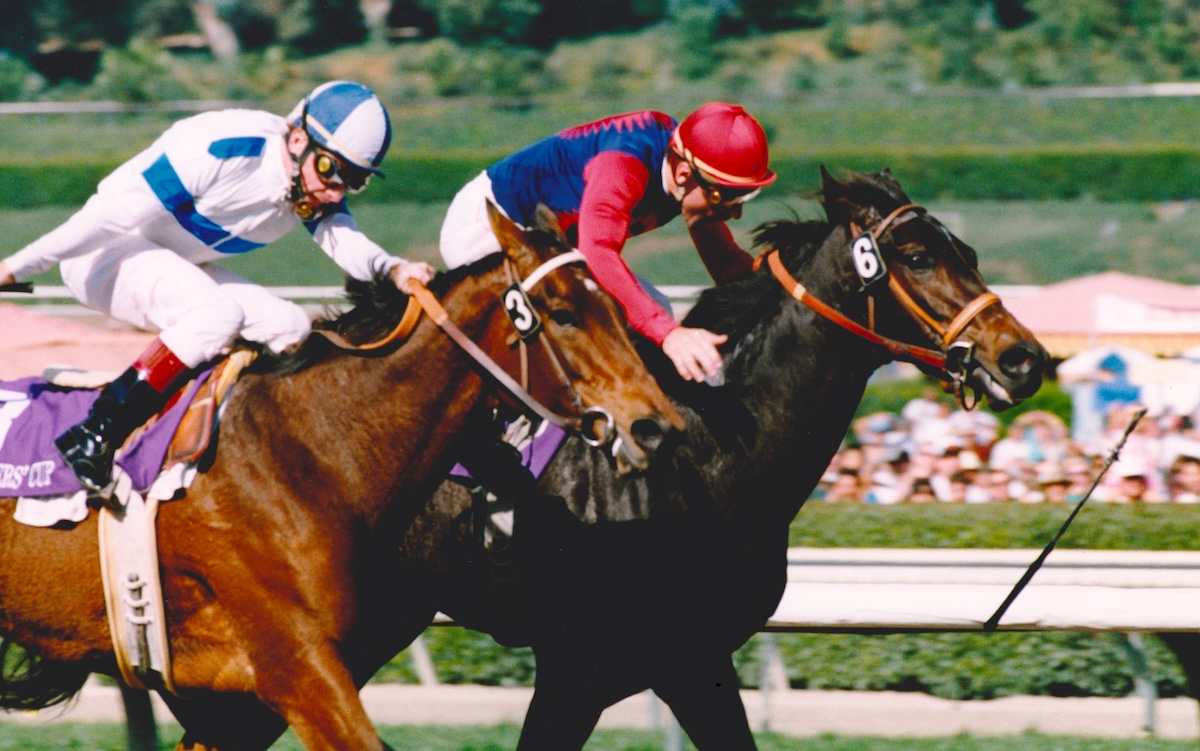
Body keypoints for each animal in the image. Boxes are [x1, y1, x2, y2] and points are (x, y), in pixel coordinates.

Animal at [0, 201, 681, 748]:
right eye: (563, 313)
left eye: (616, 304)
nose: (655, 424)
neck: (312, 450)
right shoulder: (297, 669)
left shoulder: (242, 698)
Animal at [367, 166, 1051, 743]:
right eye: (917, 258)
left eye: (969, 254)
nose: (1025, 358)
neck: (704, 456)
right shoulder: (579, 666)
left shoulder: (698, 659)